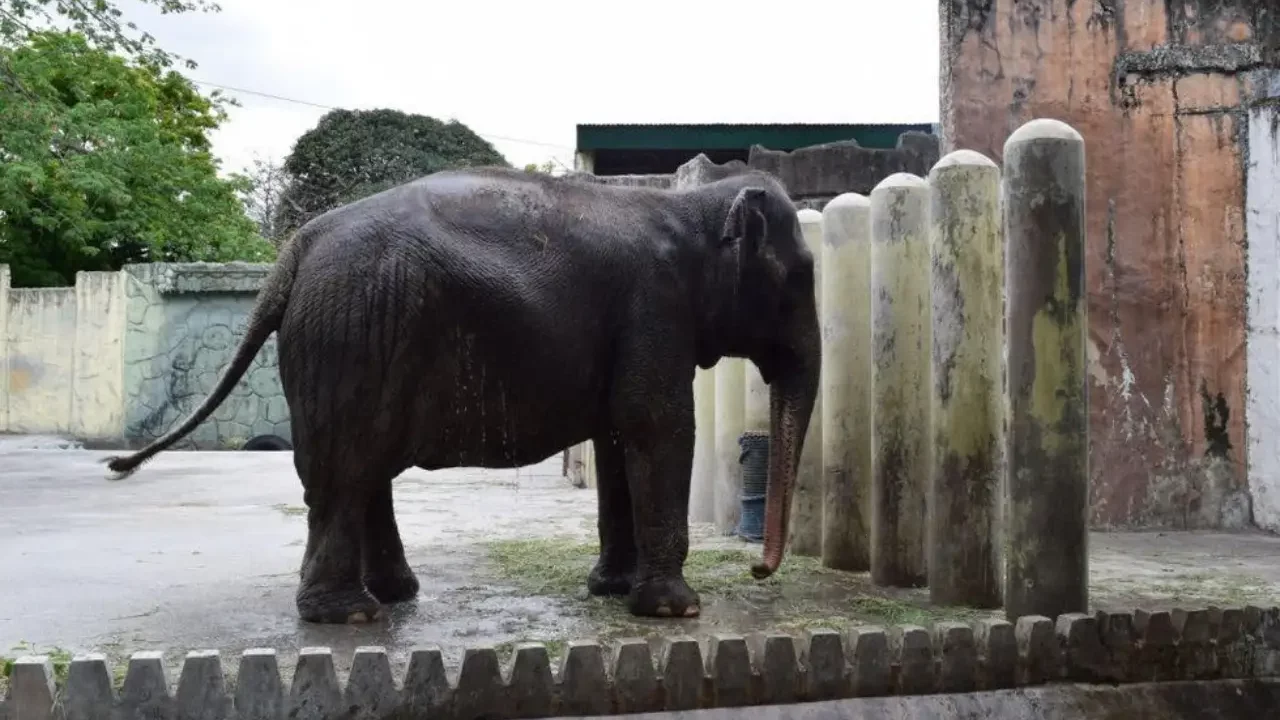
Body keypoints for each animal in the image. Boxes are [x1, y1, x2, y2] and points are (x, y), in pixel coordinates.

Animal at [104, 165, 822, 625]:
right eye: (802, 276)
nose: (759, 572)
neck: (690, 207)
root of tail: (296, 249)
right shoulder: (654, 307)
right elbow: (657, 425)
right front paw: (676, 610)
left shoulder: (636, 324)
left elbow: (619, 438)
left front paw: (611, 591)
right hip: (354, 328)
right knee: (347, 466)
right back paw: (352, 616)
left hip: (355, 335)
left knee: (361, 466)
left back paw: (393, 596)